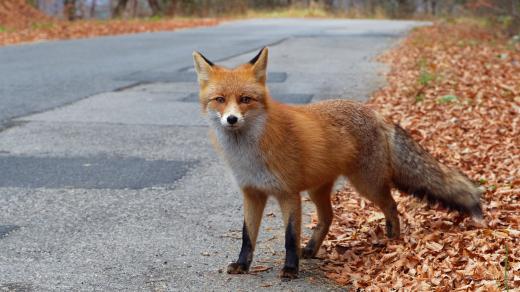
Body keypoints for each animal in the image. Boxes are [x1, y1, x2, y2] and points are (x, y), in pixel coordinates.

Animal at [192, 47, 484, 278]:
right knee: (329, 217)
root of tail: (376, 114)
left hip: (366, 184)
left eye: (245, 99)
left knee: (392, 205)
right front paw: (242, 265)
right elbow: (247, 236)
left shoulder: (288, 193)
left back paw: (393, 238)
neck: (249, 155)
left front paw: (290, 269)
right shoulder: (252, 193)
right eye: (220, 100)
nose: (231, 119)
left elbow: (289, 237)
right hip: (317, 189)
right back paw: (311, 249)